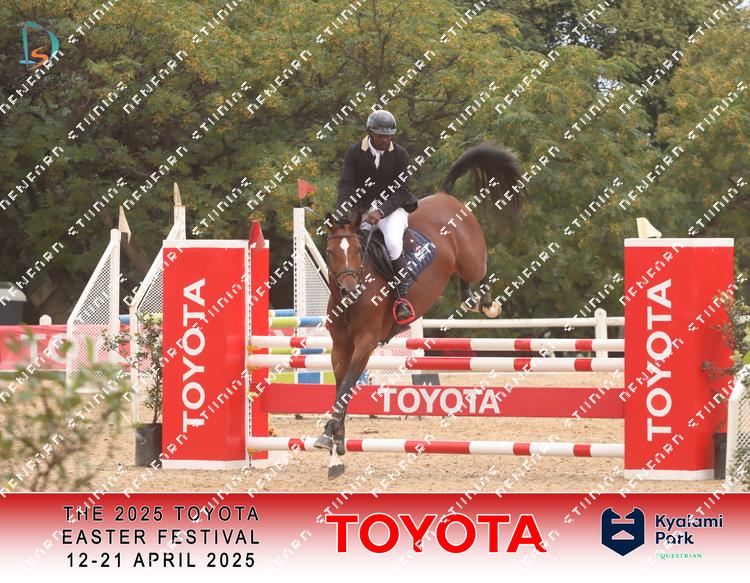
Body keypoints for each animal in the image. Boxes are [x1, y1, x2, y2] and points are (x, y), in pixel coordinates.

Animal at [314, 142, 523, 478]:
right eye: (331, 252)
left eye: (357, 250)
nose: (350, 291)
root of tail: (444, 195)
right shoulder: (341, 347)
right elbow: (339, 391)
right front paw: (335, 450)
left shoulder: (365, 344)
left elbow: (345, 388)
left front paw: (329, 436)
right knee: (464, 281)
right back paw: (471, 299)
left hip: (470, 258)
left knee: (481, 270)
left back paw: (489, 304)